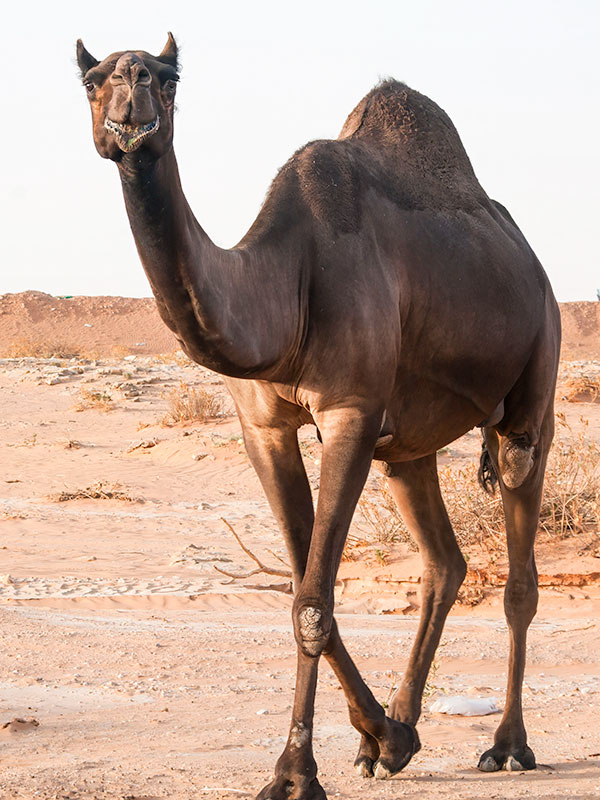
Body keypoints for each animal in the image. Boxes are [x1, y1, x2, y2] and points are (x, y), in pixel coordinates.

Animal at [77, 34, 561, 800]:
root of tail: (532, 263)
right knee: (445, 562)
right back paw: (403, 726)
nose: (130, 109)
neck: (287, 287)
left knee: (517, 564)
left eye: (167, 76)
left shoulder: (351, 413)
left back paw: (509, 745)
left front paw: (294, 772)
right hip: (410, 447)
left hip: (535, 374)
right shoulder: (264, 427)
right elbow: (309, 595)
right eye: (91, 81)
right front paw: (382, 740)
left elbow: (311, 601)